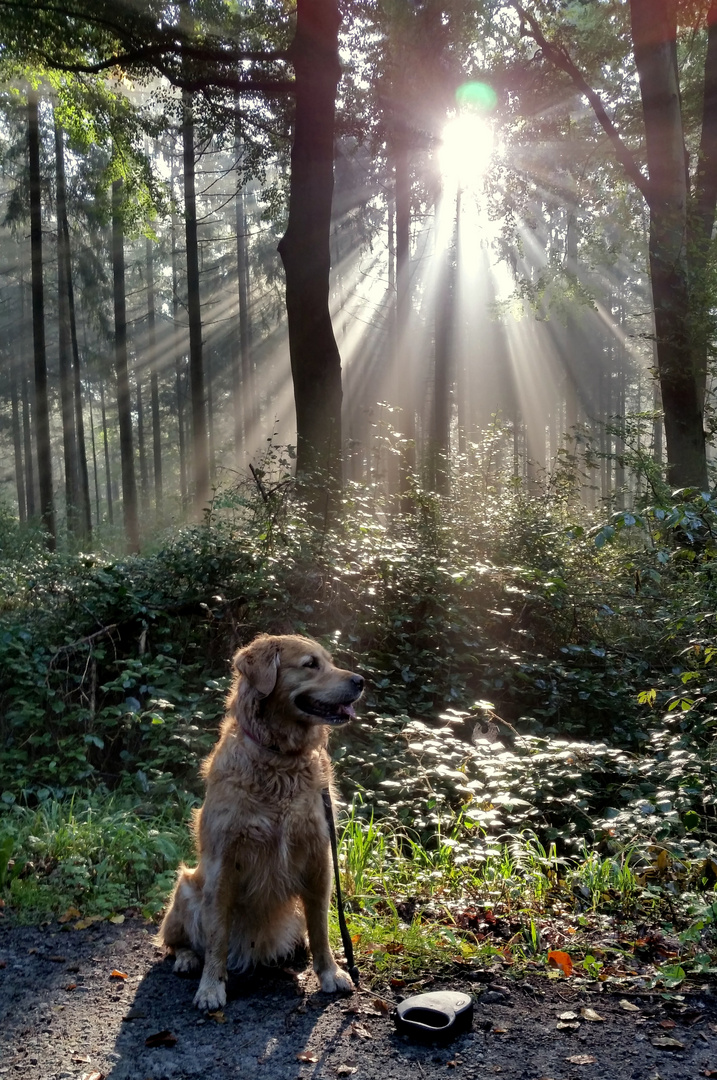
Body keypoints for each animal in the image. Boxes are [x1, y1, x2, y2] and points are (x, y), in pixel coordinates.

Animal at [159, 630, 367, 1010]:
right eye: (310, 664)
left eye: (329, 661)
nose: (360, 681)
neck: (279, 758)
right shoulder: (222, 861)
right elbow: (216, 935)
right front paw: (211, 986)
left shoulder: (318, 855)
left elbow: (321, 926)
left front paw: (329, 972)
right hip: (185, 888)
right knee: (177, 941)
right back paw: (187, 958)